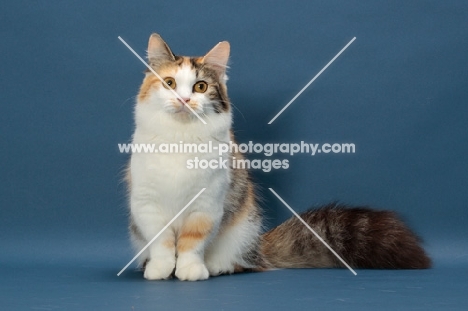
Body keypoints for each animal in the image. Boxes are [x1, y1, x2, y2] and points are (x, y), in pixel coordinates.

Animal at [125, 33, 432, 282]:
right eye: (169, 83)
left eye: (200, 87)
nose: (184, 100)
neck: (181, 136)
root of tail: (258, 247)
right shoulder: (146, 203)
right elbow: (162, 242)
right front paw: (161, 269)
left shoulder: (207, 205)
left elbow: (192, 243)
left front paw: (190, 270)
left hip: (243, 227)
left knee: (240, 262)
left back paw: (216, 267)